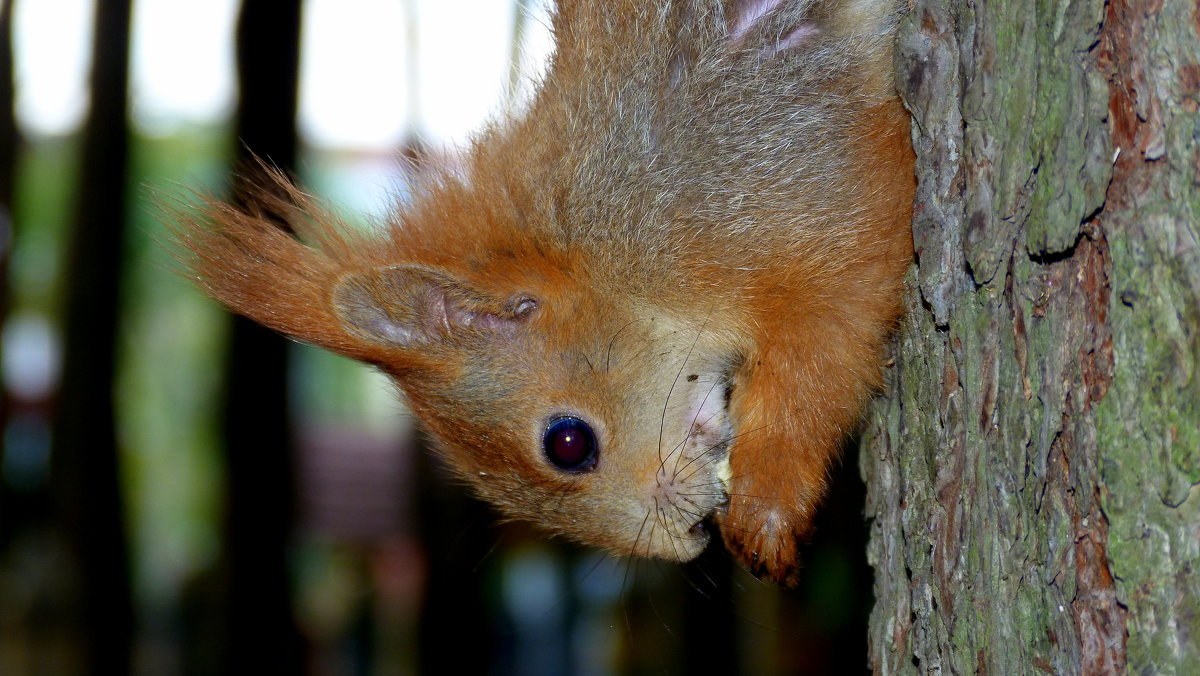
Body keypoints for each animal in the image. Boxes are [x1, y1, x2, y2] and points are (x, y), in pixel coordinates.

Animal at [175, 0, 907, 583]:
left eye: (568, 443)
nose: (679, 544)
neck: (602, 257)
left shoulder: (781, 193)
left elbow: (828, 341)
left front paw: (766, 506)